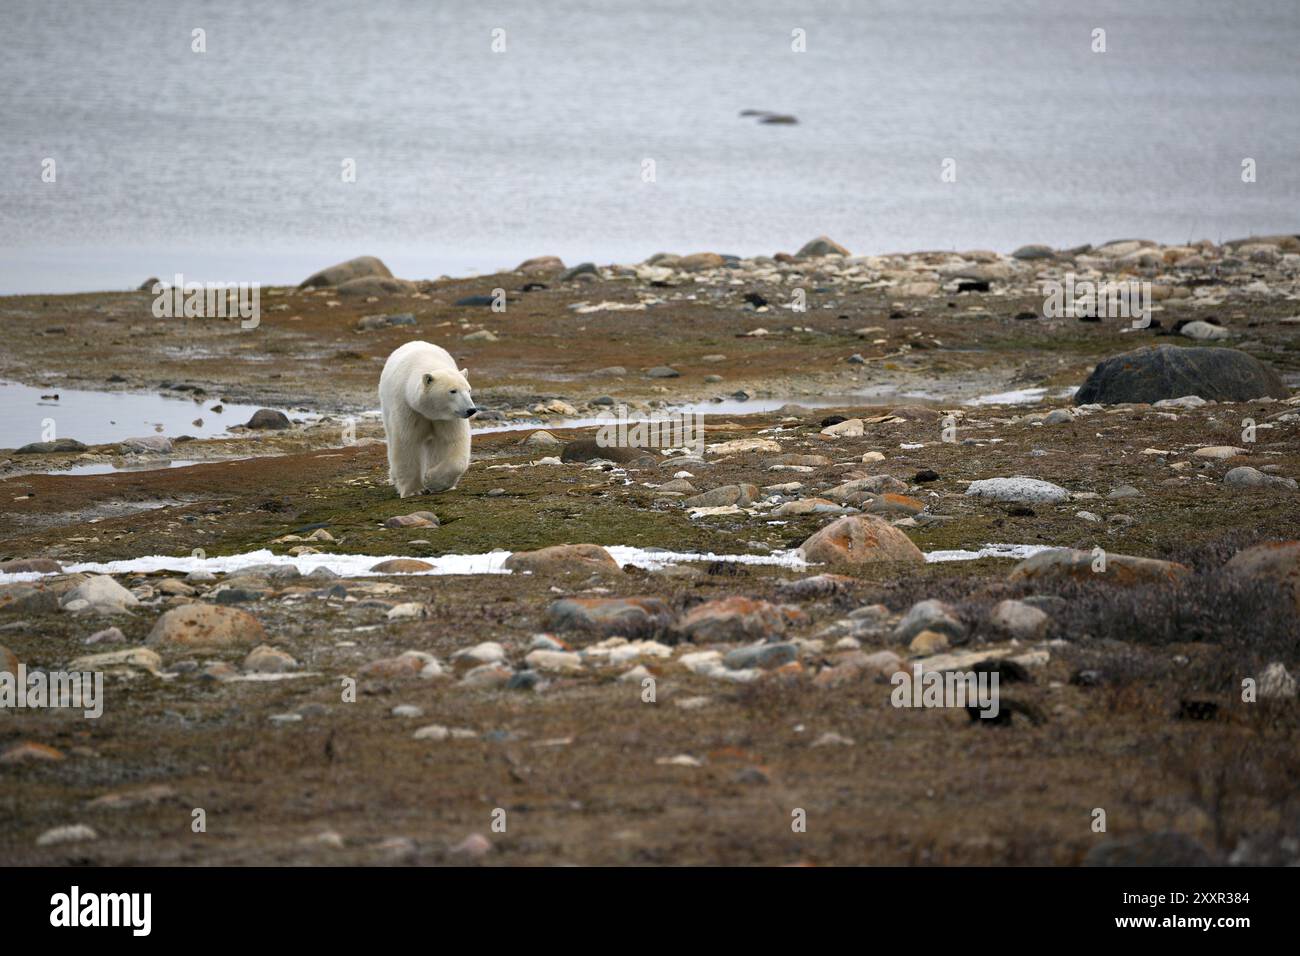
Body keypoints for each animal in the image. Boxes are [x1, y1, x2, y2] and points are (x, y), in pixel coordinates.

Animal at [379, 340, 480, 496]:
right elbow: (406, 441)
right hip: (387, 406)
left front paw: (433, 481)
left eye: (468, 390)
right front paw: (413, 490)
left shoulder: (447, 418)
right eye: (453, 391)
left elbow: (453, 442)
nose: (471, 410)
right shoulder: (408, 407)